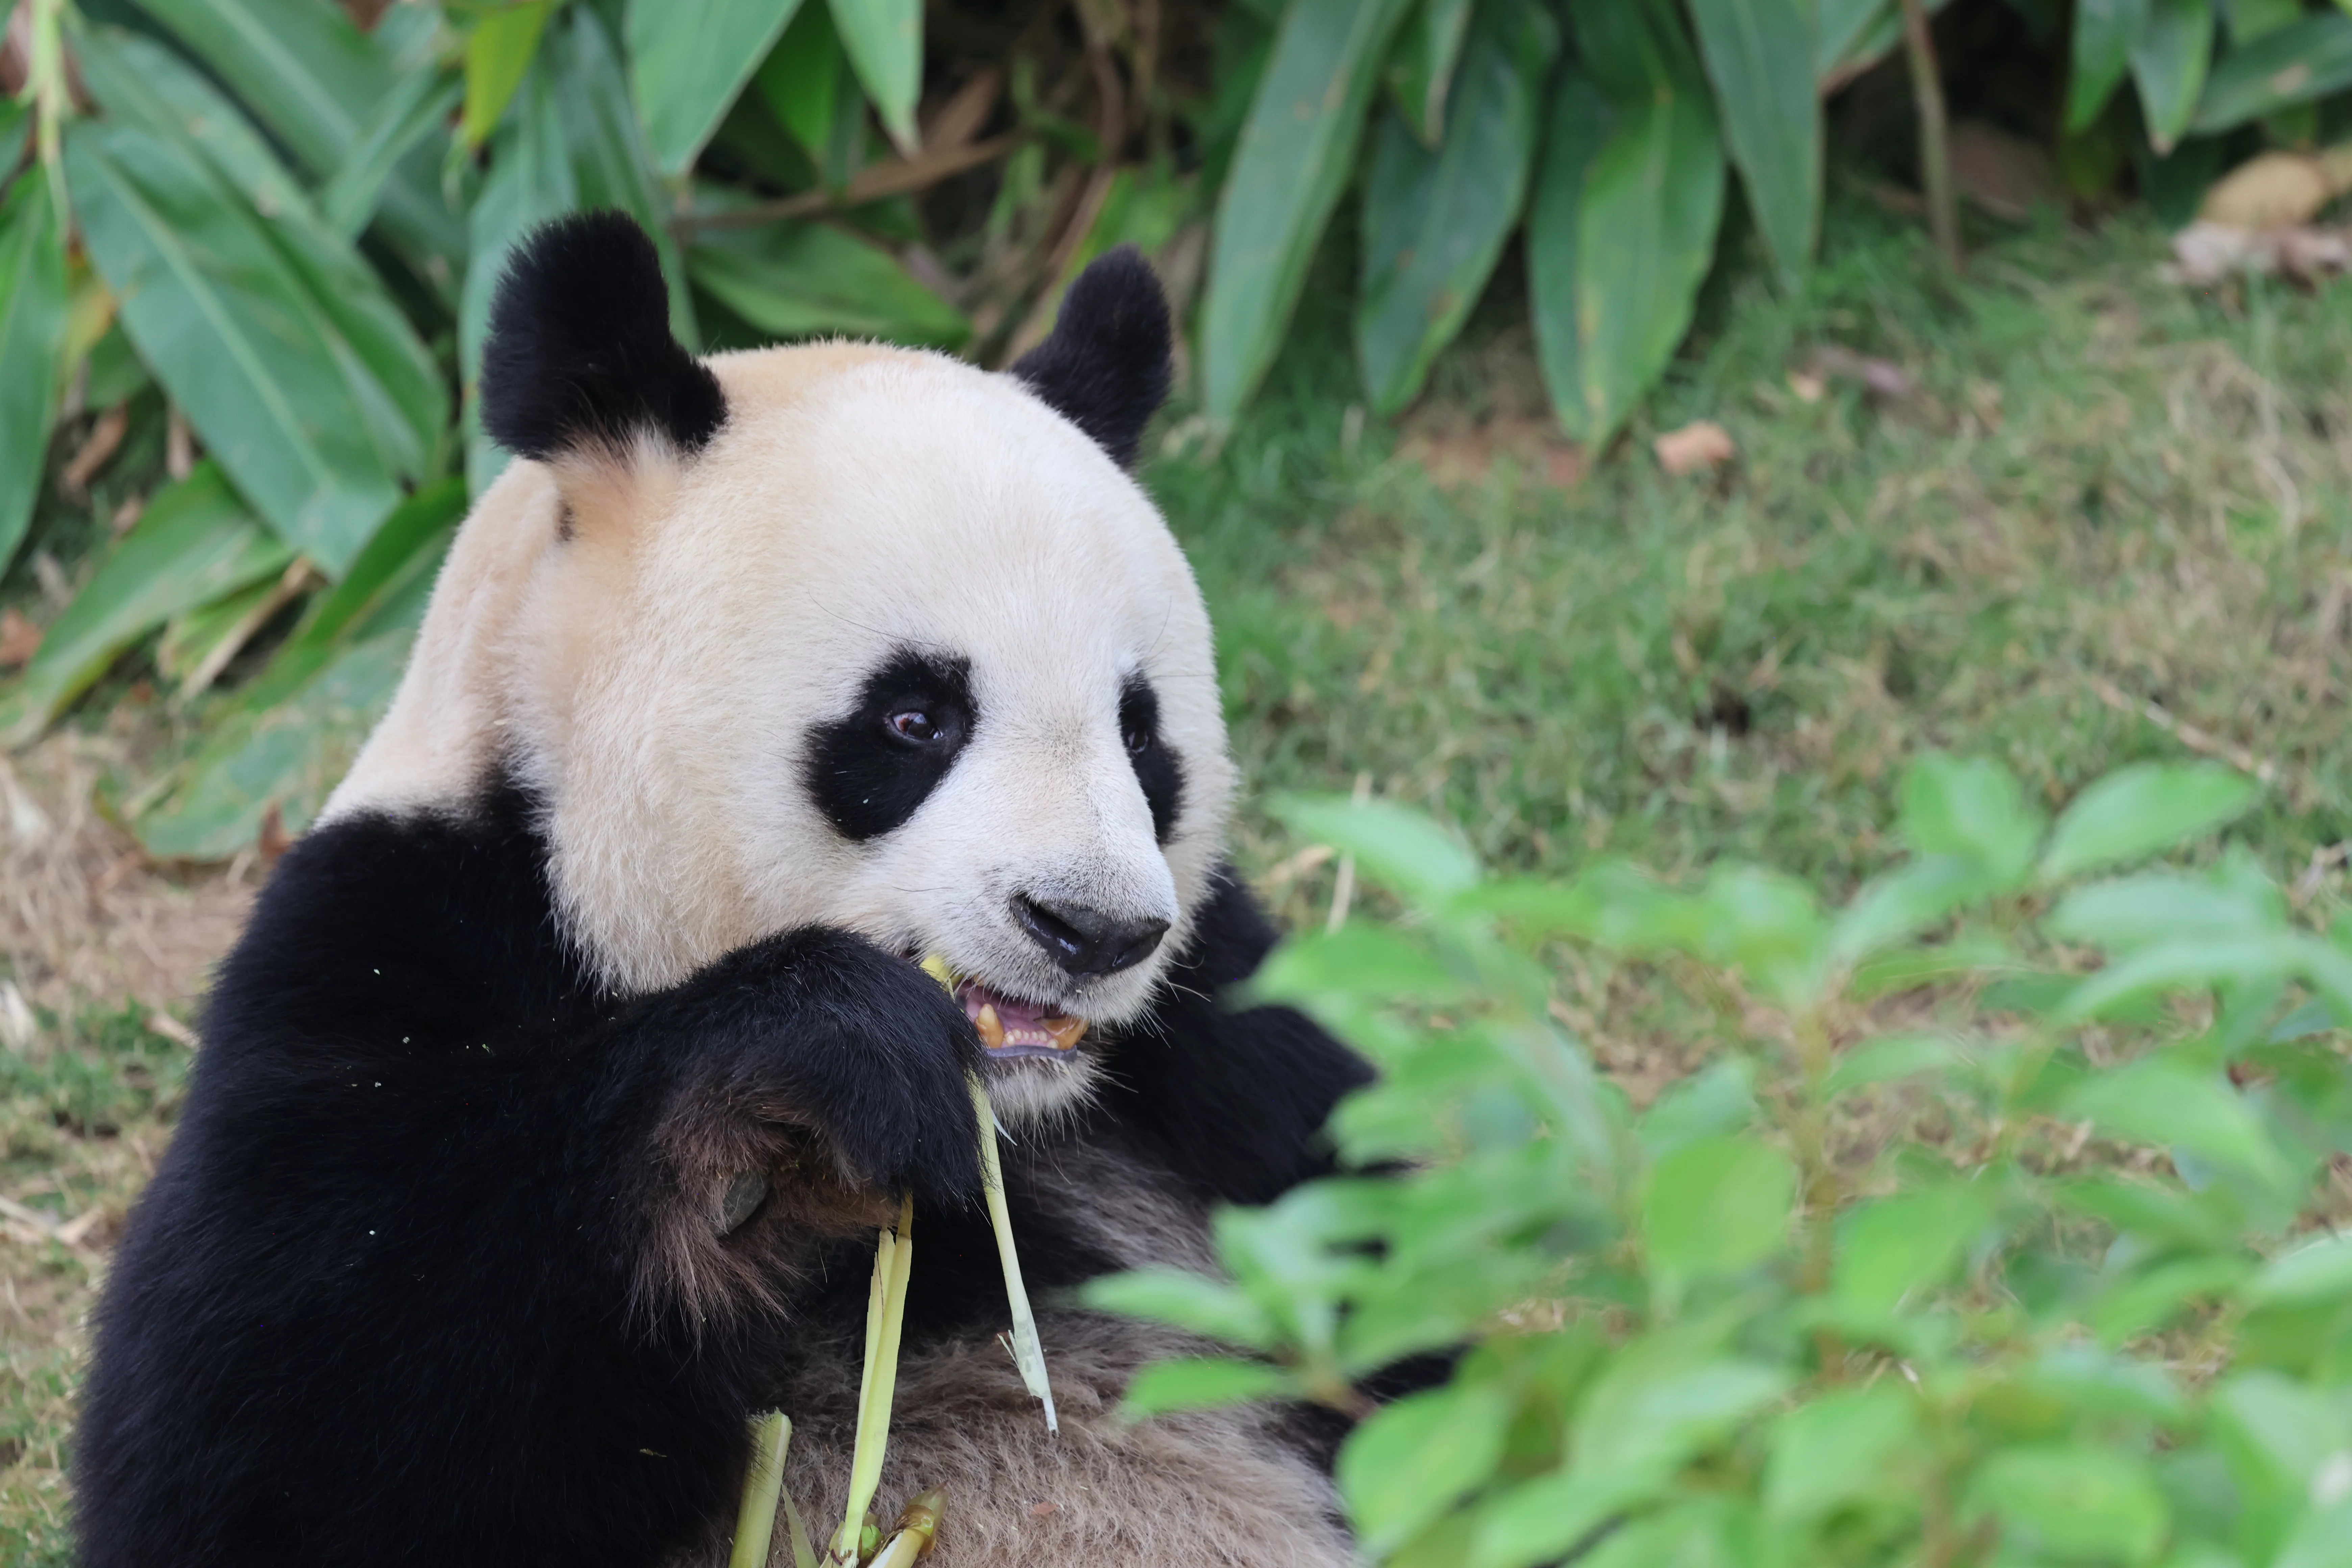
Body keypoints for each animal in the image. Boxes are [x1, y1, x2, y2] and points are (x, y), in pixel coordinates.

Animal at [75, 211, 1383, 1568]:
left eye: (1140, 734)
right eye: (913, 718)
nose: (1092, 928)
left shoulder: (1224, 1022)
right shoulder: (382, 937)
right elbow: (269, 1436)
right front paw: (817, 1066)